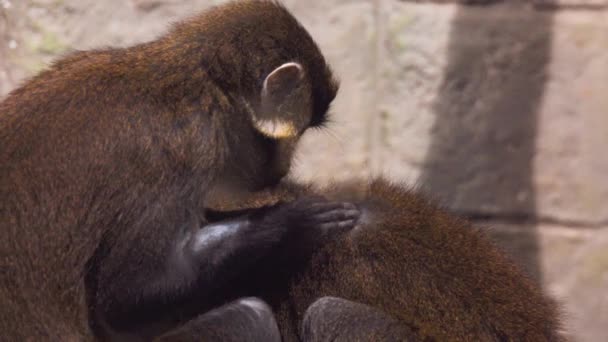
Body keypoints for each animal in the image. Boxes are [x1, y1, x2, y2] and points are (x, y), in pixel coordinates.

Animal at [0, 1, 360, 340]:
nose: (288, 163)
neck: (201, 86)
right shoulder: (183, 148)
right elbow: (128, 295)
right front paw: (293, 223)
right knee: (250, 316)